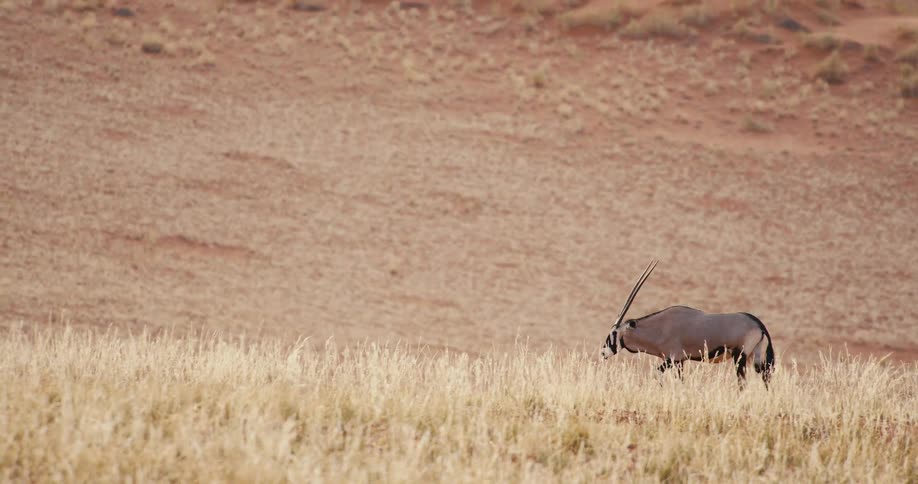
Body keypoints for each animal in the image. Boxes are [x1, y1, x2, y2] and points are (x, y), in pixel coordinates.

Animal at [600, 260, 775, 388]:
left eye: (613, 333)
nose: (603, 353)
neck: (659, 328)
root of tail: (758, 324)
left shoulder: (672, 359)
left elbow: (658, 374)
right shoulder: (681, 362)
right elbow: (680, 380)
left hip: (740, 356)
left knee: (743, 382)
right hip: (754, 355)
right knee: (764, 375)